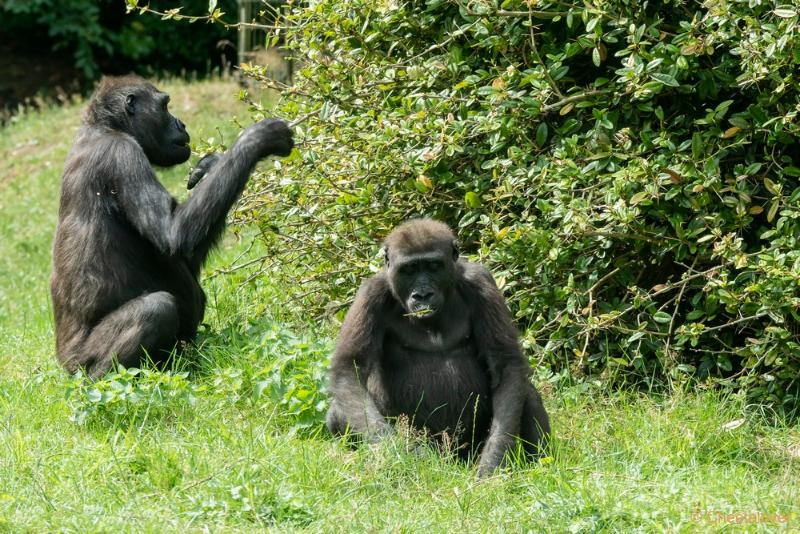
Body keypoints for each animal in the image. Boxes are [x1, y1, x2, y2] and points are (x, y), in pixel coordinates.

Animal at [50, 75, 294, 378]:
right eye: (165, 107)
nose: (181, 123)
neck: (107, 127)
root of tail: (64, 363)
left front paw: (210, 166)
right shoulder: (122, 155)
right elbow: (173, 234)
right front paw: (257, 140)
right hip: (79, 364)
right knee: (155, 309)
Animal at [324, 220, 552, 480]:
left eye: (433, 266)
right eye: (409, 270)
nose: (423, 295)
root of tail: (452, 460)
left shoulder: (481, 281)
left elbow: (506, 365)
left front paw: (494, 461)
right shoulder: (371, 293)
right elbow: (349, 369)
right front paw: (399, 454)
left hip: (468, 451)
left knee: (525, 392)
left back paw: (540, 465)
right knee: (338, 410)